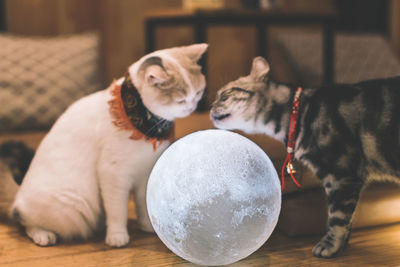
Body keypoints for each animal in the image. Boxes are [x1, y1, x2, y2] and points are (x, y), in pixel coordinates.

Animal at [3, 43, 208, 247]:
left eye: (198, 93)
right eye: (181, 100)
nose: (192, 107)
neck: (142, 123)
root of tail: (19, 193)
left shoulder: (145, 172)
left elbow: (142, 204)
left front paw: (147, 226)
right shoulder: (113, 173)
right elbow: (117, 210)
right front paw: (117, 236)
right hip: (70, 209)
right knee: (24, 220)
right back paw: (43, 235)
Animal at [211, 57, 398, 260]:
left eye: (224, 96)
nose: (210, 107)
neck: (299, 115)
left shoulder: (341, 174)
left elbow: (337, 217)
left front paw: (329, 245)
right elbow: (349, 218)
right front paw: (343, 245)